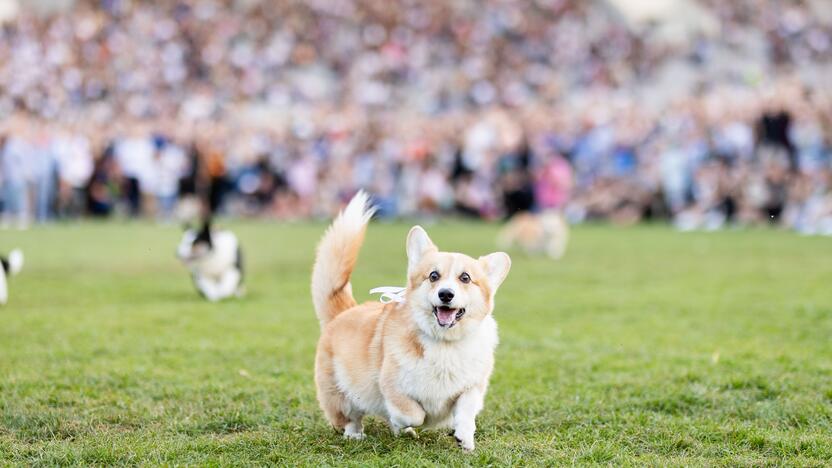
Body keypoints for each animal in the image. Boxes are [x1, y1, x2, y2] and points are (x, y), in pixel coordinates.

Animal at [310, 192, 510, 452]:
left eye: (465, 278)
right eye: (433, 276)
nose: (446, 294)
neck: (444, 343)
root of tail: (345, 310)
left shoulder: (471, 387)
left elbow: (466, 411)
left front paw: (464, 437)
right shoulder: (393, 387)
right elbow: (414, 414)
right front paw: (405, 423)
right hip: (340, 393)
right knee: (350, 417)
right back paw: (357, 435)